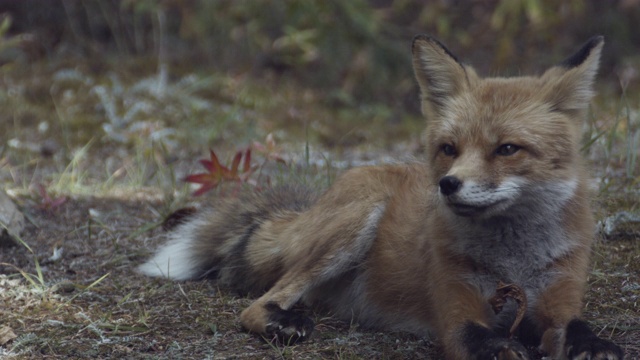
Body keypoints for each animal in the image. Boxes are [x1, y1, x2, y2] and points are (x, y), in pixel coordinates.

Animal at [138, 36, 624, 360]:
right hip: (354, 223)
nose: (448, 185)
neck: (513, 262)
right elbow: (478, 338)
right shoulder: (455, 311)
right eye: (449, 148)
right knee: (258, 304)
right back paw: (283, 321)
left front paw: (595, 345)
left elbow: (577, 327)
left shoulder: (559, 298)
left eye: (507, 149)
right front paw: (505, 348)